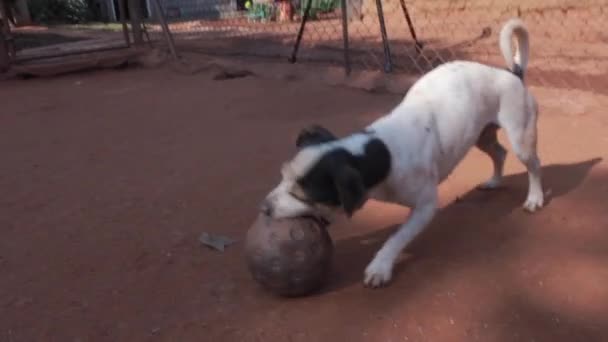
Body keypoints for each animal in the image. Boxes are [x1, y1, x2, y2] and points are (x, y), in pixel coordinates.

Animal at [258, 18, 544, 286]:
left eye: (302, 196)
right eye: (282, 177)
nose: (264, 208)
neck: (380, 153)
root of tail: (511, 73)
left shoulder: (426, 206)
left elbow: (397, 236)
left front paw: (380, 266)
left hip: (520, 137)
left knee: (533, 165)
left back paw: (535, 198)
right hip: (480, 136)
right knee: (499, 153)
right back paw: (494, 181)